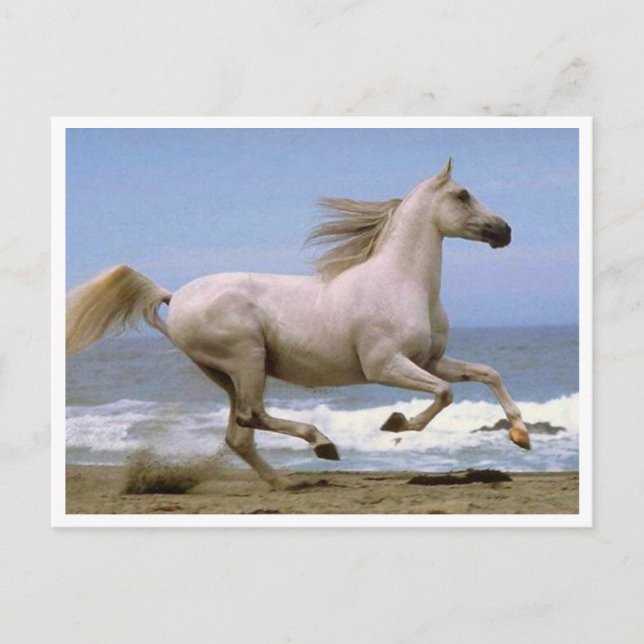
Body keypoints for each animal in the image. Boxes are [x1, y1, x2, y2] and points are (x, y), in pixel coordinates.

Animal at [66, 159, 531, 490]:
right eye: (463, 194)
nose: (505, 230)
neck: (402, 282)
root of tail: (174, 296)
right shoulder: (385, 366)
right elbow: (446, 394)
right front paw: (396, 422)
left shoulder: (430, 360)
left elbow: (487, 373)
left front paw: (520, 434)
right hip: (247, 359)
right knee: (252, 416)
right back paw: (322, 444)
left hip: (225, 374)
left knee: (239, 434)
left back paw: (283, 481)